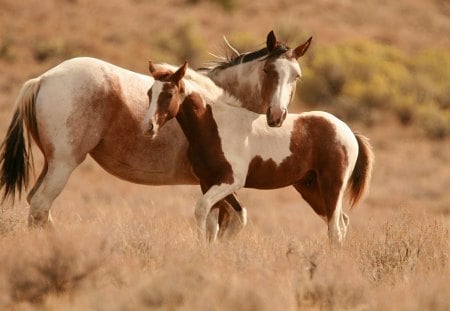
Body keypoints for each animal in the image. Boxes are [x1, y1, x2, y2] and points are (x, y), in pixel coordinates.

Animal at [0, 30, 312, 235]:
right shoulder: (216, 182)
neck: (220, 104)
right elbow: (224, 222)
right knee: (41, 205)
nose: (277, 116)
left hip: (51, 163)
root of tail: (43, 79)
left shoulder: (214, 183)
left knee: (36, 205)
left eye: (296, 75)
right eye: (269, 70)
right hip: (64, 164)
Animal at [146, 61, 374, 246]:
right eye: (149, 93)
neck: (217, 126)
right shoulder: (208, 181)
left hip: (332, 185)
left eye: (168, 94)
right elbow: (215, 221)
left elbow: (202, 209)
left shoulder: (231, 180)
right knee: (341, 222)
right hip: (311, 189)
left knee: (335, 229)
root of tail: (348, 131)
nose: (149, 127)